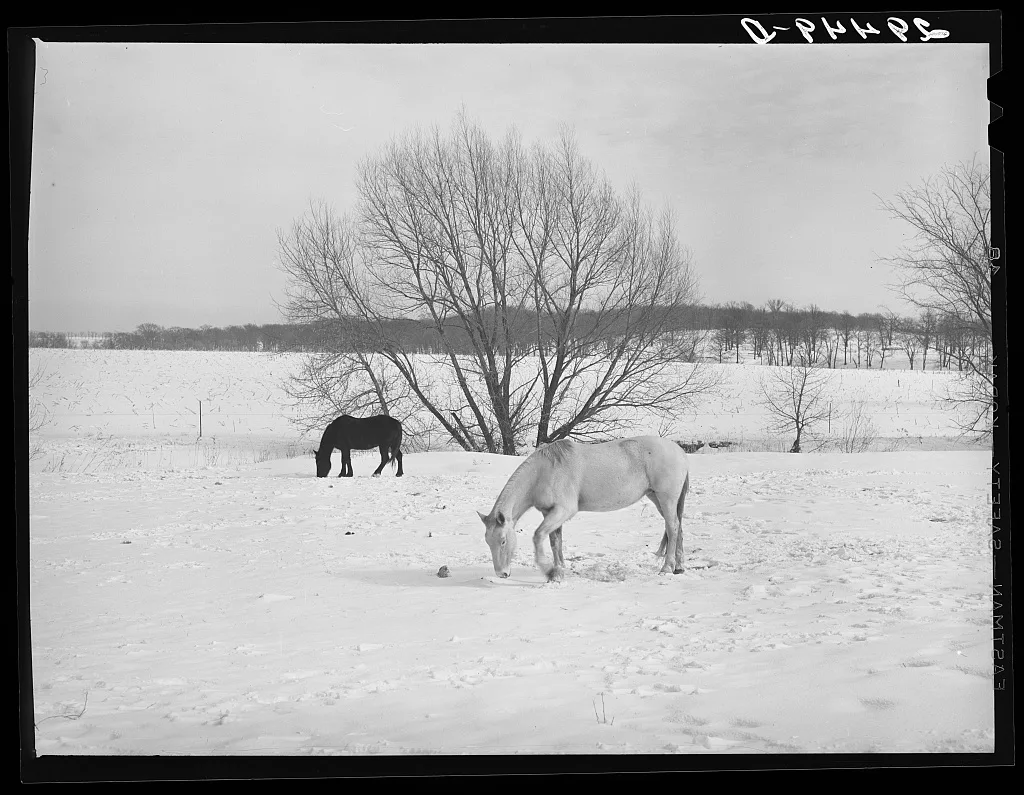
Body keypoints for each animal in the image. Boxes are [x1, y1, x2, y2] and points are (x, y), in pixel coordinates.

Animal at [477, 436, 690, 582]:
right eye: (487, 541)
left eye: (503, 541)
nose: (501, 573)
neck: (545, 472)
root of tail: (679, 451)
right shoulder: (550, 513)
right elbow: (555, 542)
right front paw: (559, 571)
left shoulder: (563, 511)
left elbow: (538, 536)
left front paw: (549, 571)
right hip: (657, 498)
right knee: (678, 528)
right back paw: (679, 567)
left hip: (666, 498)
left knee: (672, 527)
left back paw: (667, 568)